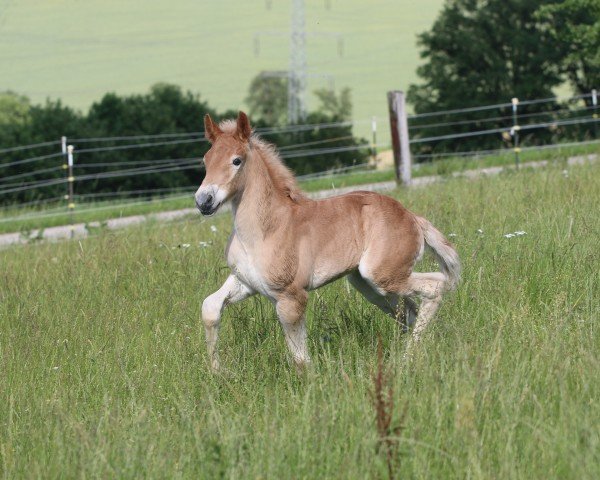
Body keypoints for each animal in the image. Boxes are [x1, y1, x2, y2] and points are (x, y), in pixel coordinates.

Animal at [196, 110, 460, 370]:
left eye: (236, 161)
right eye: (206, 161)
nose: (203, 201)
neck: (265, 230)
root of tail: (412, 217)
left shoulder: (291, 296)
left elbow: (300, 358)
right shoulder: (246, 282)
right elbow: (210, 307)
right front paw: (218, 372)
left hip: (384, 275)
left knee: (435, 286)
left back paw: (407, 358)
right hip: (369, 285)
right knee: (409, 311)